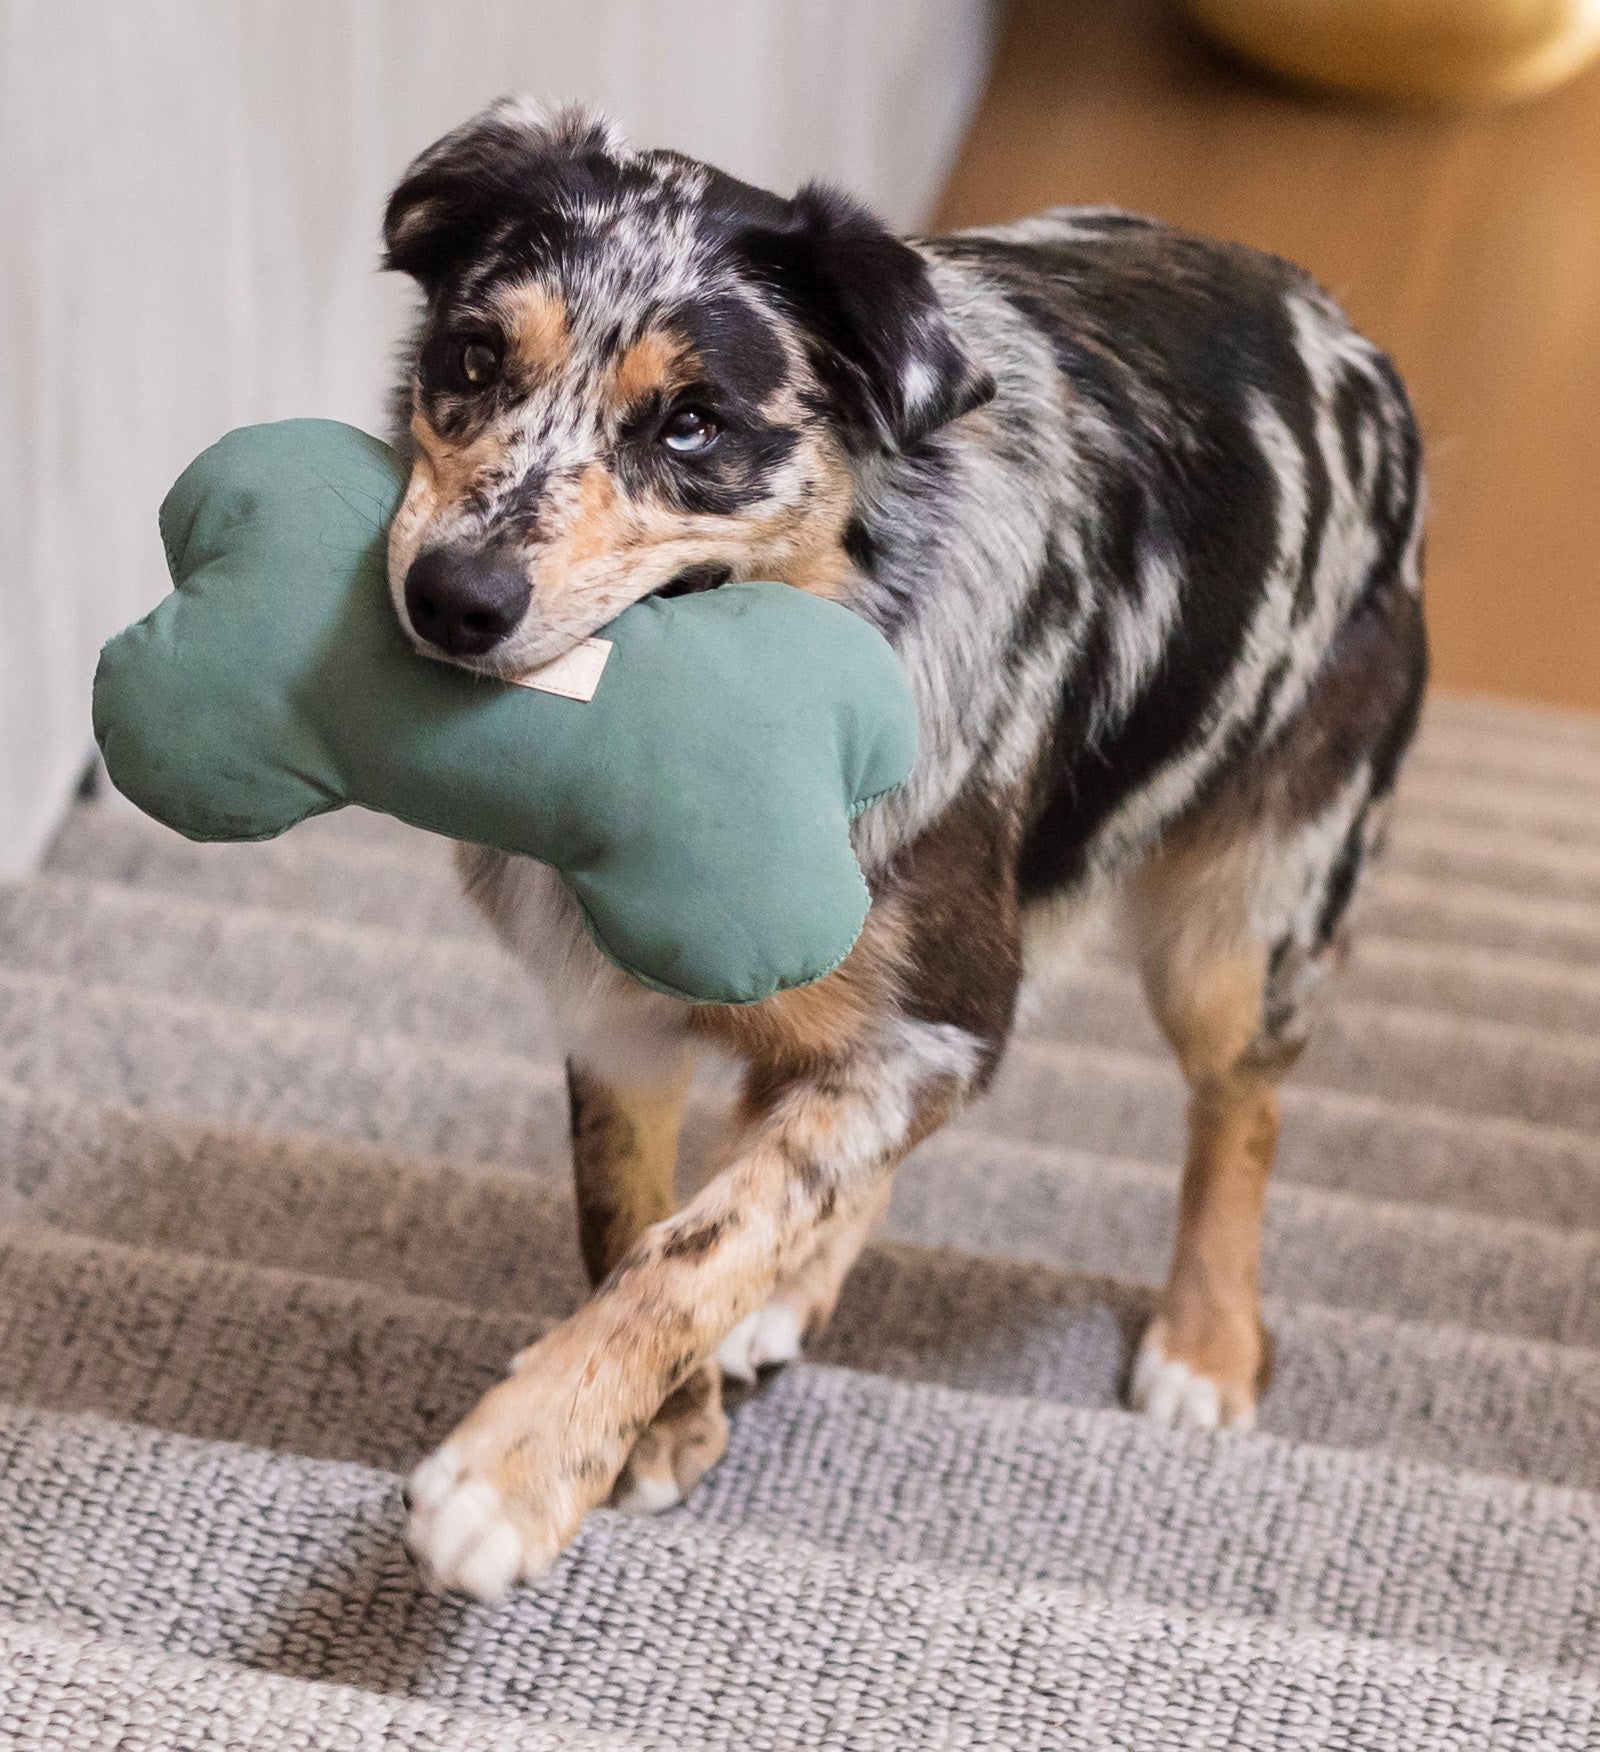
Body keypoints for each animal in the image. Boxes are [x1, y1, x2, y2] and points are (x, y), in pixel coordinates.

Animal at [383, 99, 1423, 1604]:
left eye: (694, 424)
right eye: (472, 357)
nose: (452, 598)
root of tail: (1352, 344)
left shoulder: (938, 1017)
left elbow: (699, 1242)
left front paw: (515, 1471)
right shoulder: (612, 1012)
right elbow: (631, 1216)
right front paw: (658, 1424)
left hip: (1244, 919)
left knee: (1242, 1106)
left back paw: (1206, 1339)